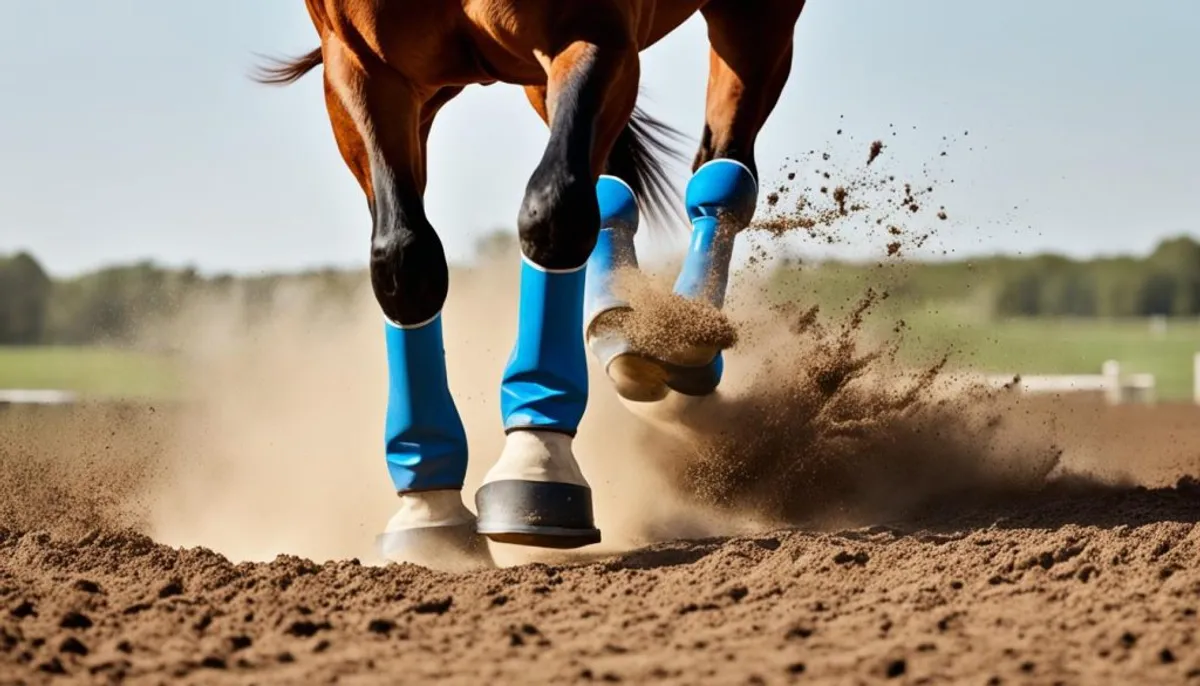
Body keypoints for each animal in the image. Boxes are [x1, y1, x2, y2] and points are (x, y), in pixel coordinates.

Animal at [258, 0, 811, 568]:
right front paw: (428, 506)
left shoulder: (594, 31)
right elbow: (403, 259)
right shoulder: (361, 67)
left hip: (744, 21)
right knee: (613, 182)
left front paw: (537, 457)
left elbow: (555, 208)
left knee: (719, 169)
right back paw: (624, 325)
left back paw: (682, 331)